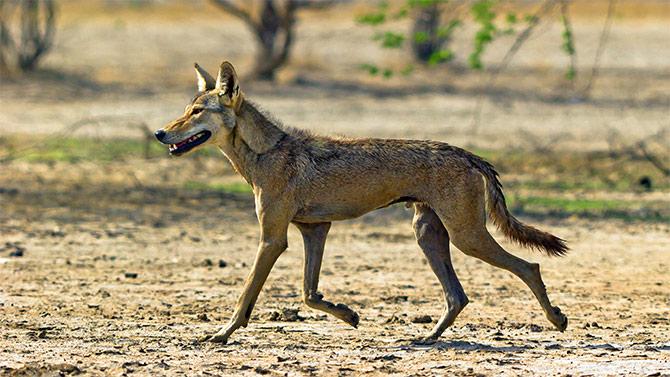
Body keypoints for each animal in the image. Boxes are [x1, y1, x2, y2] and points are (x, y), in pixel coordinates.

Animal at [155, 59, 568, 344]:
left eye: (196, 112)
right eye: (186, 109)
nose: (160, 132)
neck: (265, 152)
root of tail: (467, 153)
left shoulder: (273, 239)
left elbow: (246, 295)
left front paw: (222, 334)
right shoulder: (315, 230)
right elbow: (309, 293)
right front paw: (349, 314)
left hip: (467, 238)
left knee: (528, 266)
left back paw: (557, 320)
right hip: (428, 235)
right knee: (458, 296)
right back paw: (428, 338)